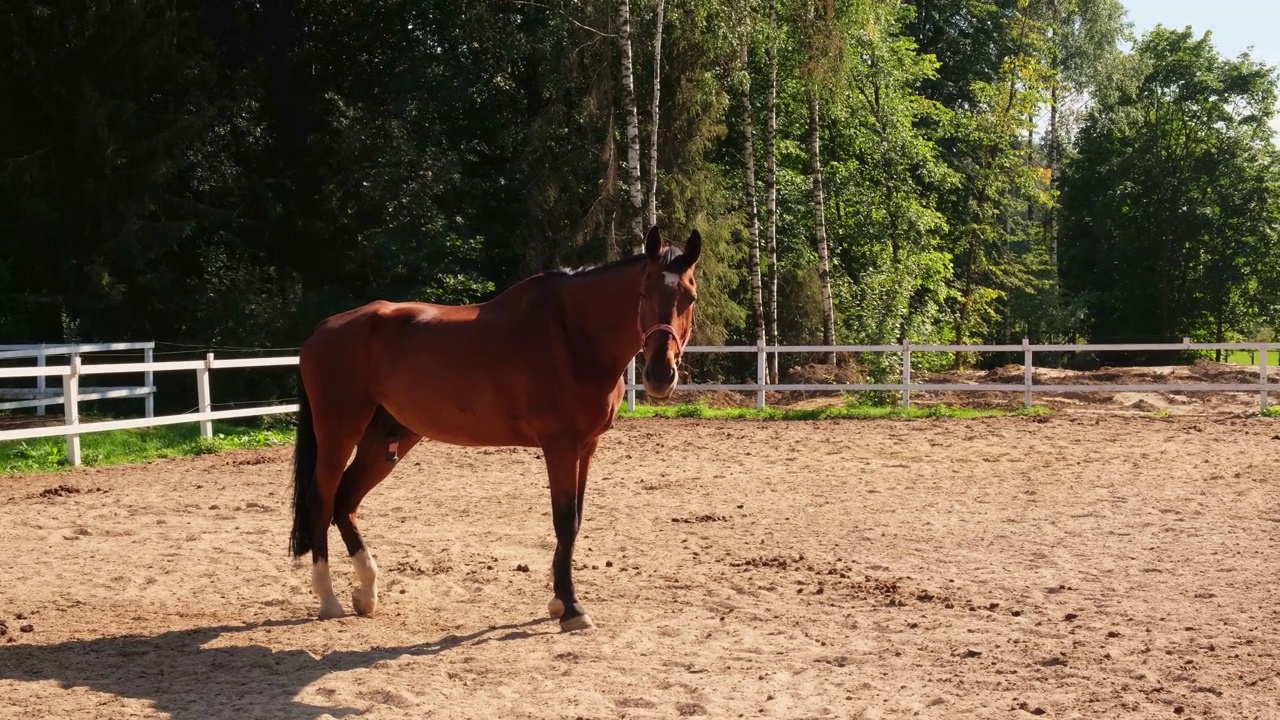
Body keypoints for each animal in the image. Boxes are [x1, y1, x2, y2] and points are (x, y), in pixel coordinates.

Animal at [288, 222, 701, 627]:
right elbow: (565, 521)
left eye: (690, 298)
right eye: (643, 293)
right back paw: (329, 599)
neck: (573, 335)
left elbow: (577, 519)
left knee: (345, 502)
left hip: (386, 441)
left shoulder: (587, 446)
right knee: (321, 499)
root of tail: (322, 330)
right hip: (338, 433)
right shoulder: (561, 446)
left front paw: (558, 601)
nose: (660, 375)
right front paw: (571, 607)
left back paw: (366, 593)